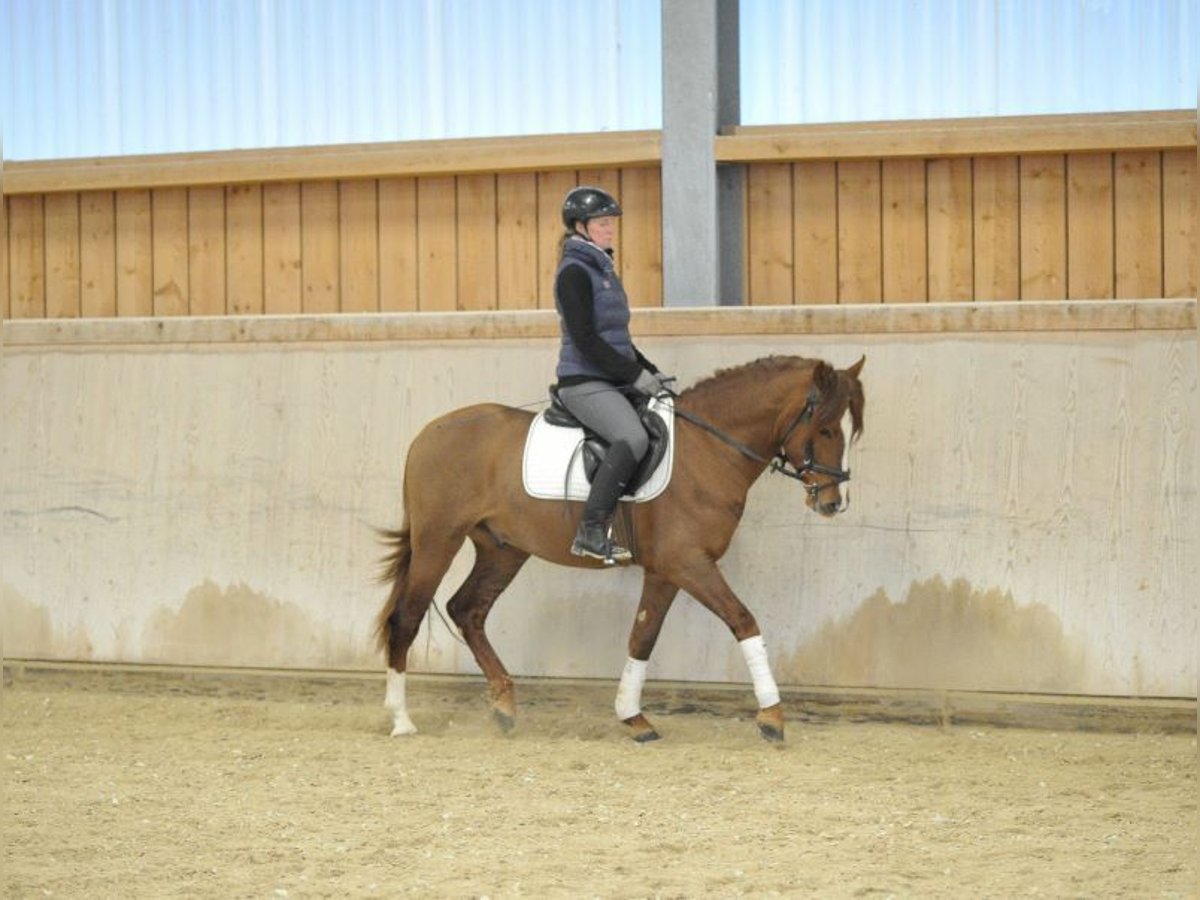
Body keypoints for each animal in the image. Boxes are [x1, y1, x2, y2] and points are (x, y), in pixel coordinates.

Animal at [374, 355, 864, 744]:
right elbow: (743, 620)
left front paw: (634, 717)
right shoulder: (689, 563)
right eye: (824, 429)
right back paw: (401, 720)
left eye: (850, 431)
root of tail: (428, 433)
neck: (708, 450)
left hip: (503, 549)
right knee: (408, 617)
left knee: (467, 609)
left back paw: (504, 707)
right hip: (438, 539)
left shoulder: (667, 570)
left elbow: (642, 636)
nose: (834, 503)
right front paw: (772, 717)